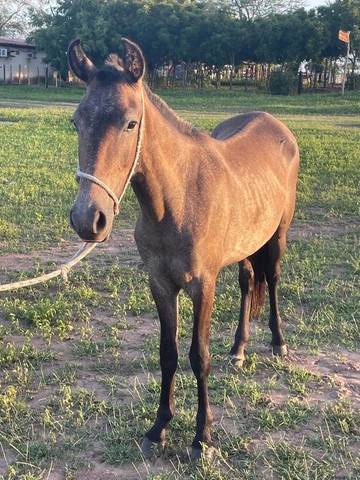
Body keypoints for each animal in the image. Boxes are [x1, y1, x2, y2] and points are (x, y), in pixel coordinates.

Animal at [67, 39, 298, 460]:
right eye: (76, 121)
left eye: (130, 123)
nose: (88, 219)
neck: (178, 199)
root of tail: (277, 126)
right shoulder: (161, 284)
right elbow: (168, 353)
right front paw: (158, 429)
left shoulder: (202, 285)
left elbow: (198, 356)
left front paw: (202, 438)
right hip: (245, 245)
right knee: (247, 282)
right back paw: (238, 349)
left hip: (277, 235)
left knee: (271, 280)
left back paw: (277, 343)